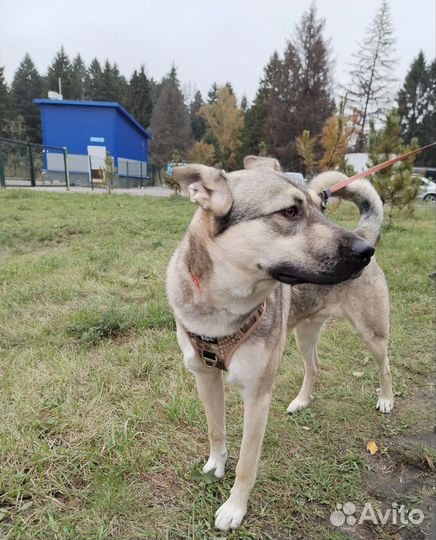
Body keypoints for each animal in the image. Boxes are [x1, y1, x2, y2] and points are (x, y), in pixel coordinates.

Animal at [165, 156, 394, 532]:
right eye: (289, 212)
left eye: (321, 208)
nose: (365, 253)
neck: (222, 307)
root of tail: (363, 232)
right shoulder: (205, 376)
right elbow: (216, 430)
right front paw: (216, 464)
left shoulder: (257, 397)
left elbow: (247, 464)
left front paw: (235, 508)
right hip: (303, 333)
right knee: (314, 366)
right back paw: (302, 401)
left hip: (371, 332)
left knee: (384, 364)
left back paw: (386, 399)